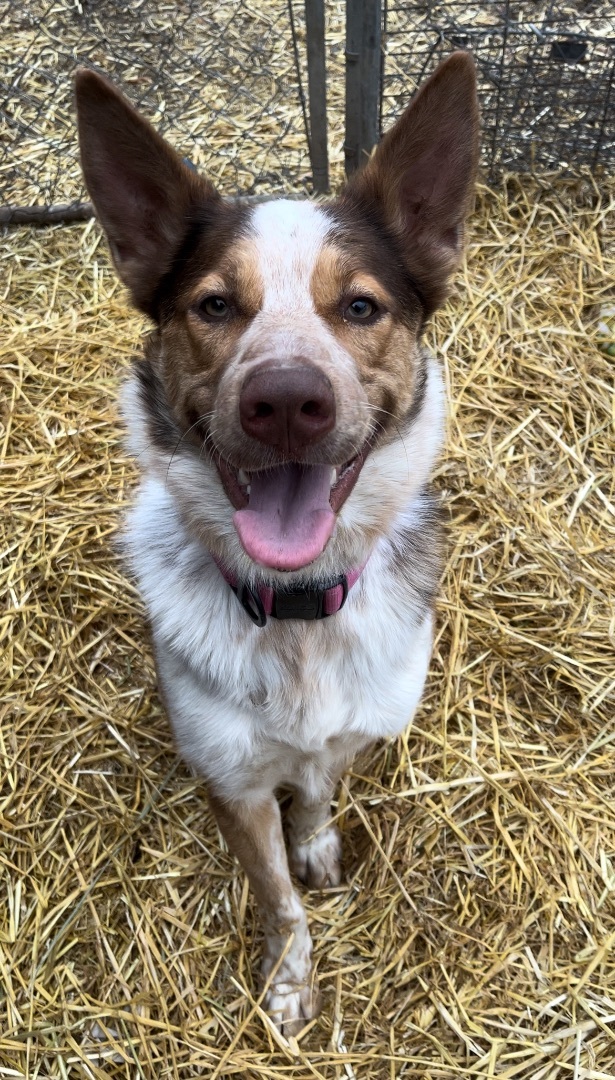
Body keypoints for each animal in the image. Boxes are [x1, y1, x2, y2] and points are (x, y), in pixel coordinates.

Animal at [75, 54, 479, 1032]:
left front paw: (318, 843)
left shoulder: (348, 732)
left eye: (361, 306)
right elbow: (275, 896)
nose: (289, 400)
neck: (297, 614)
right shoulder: (233, 779)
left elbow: (319, 795)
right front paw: (291, 979)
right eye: (215, 304)